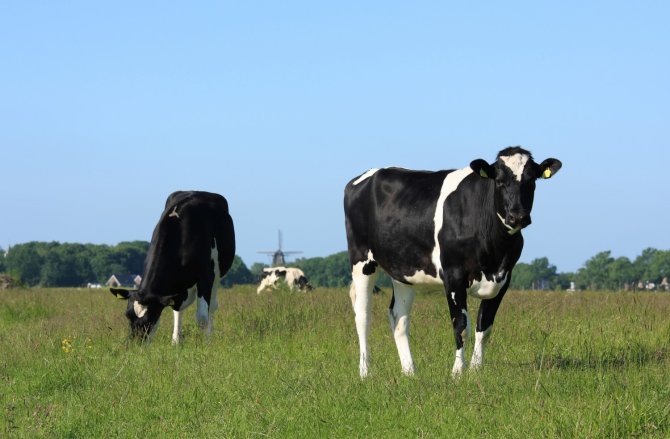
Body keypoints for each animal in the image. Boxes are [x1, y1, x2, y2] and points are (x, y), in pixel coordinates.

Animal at [110, 192, 236, 344]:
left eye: (151, 318)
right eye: (127, 315)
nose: (135, 344)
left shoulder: (206, 277)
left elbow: (202, 317)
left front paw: (205, 344)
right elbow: (176, 309)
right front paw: (175, 342)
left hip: (217, 275)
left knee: (212, 307)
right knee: (178, 310)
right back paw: (176, 340)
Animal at [346, 147, 560, 378]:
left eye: (531, 180)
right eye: (500, 181)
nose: (517, 216)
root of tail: (366, 175)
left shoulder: (503, 278)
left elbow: (484, 327)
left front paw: (476, 370)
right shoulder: (453, 275)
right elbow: (461, 326)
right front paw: (457, 372)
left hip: (403, 271)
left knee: (399, 318)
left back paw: (410, 372)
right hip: (361, 261)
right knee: (363, 316)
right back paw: (365, 372)